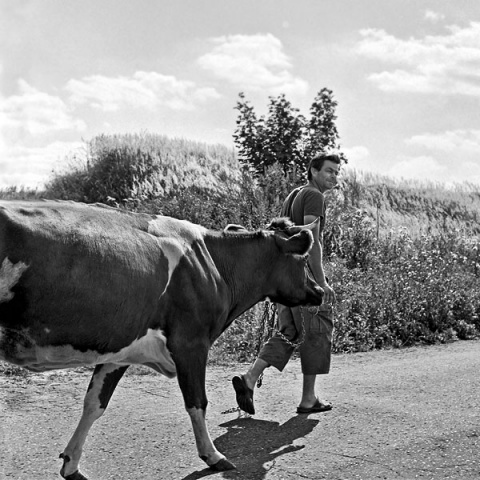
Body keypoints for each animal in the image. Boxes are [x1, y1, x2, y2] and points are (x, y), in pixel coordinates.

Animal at [0, 201, 324, 478]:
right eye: (303, 259)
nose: (321, 290)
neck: (215, 265)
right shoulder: (191, 341)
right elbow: (197, 401)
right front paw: (213, 456)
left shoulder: (119, 350)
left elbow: (95, 403)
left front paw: (71, 464)